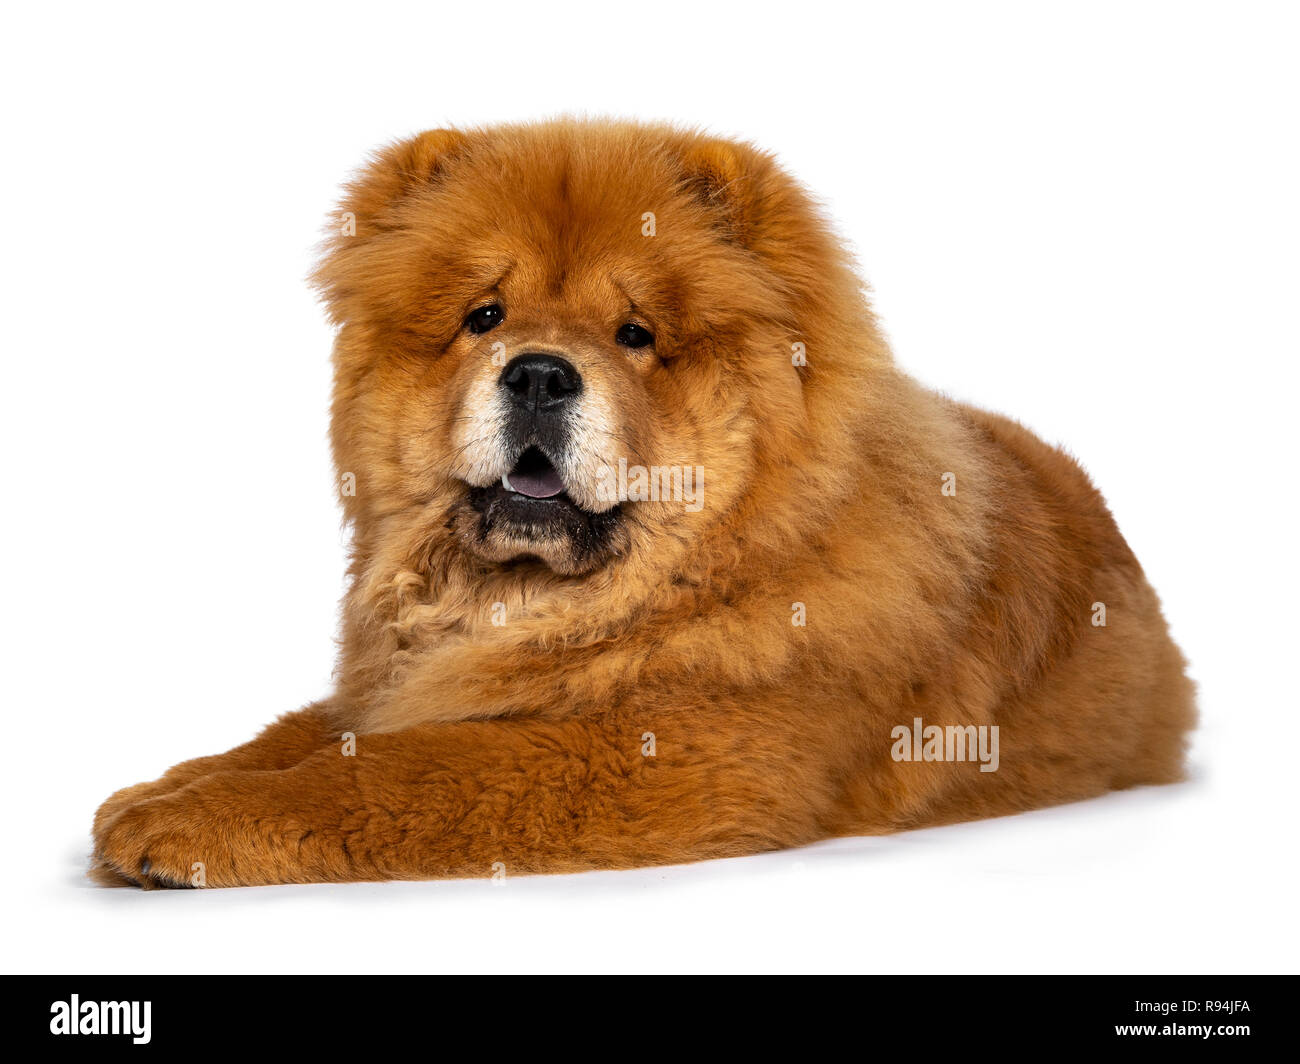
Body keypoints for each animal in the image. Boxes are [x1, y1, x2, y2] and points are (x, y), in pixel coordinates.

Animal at [86, 118, 1190, 889]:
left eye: (634, 333)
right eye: (483, 316)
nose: (537, 372)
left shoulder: (667, 751)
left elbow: (397, 771)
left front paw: (179, 824)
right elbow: (307, 733)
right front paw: (163, 785)